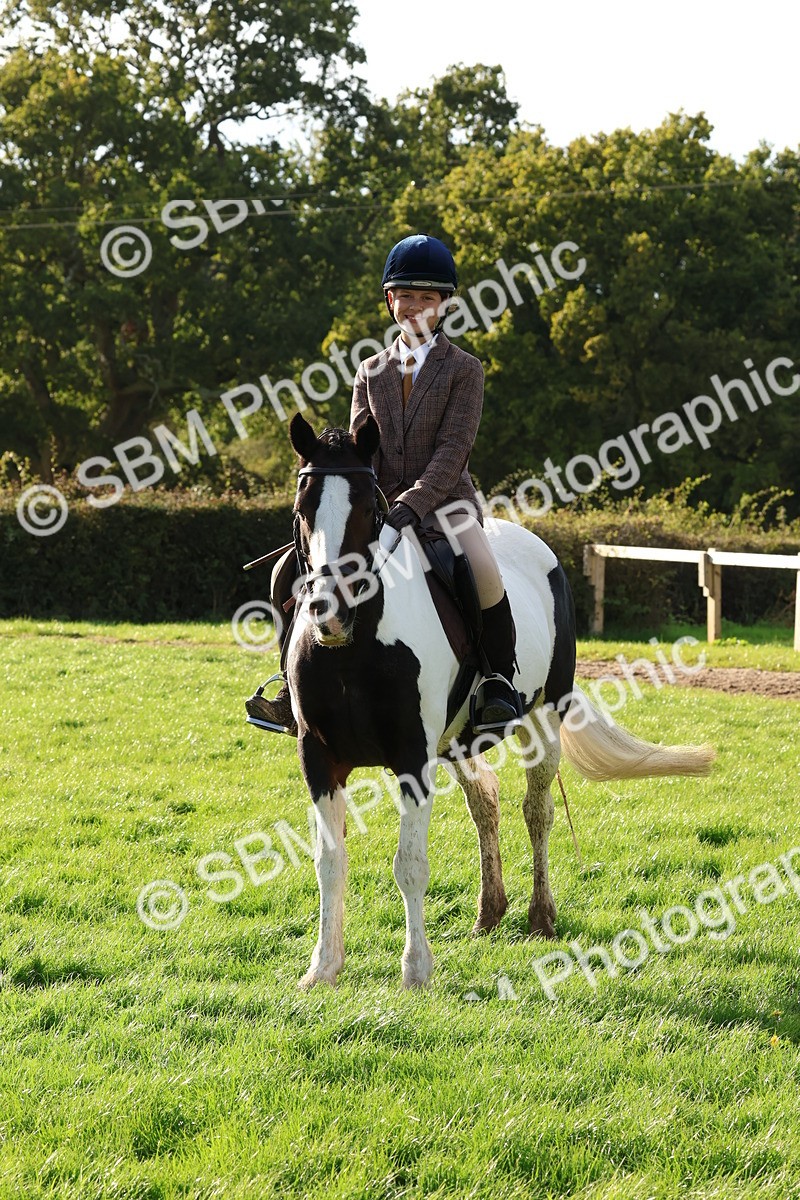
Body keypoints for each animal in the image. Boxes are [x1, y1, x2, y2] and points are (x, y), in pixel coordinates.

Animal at [278, 412, 714, 989]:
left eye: (371, 510)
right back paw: (490, 912)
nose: (331, 614)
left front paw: (415, 971)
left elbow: (409, 865)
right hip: (458, 742)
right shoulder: (319, 757)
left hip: (544, 718)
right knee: (485, 802)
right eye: (302, 510)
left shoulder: (412, 756)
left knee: (537, 810)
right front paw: (322, 969)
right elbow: (330, 862)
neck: (358, 645)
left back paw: (540, 917)